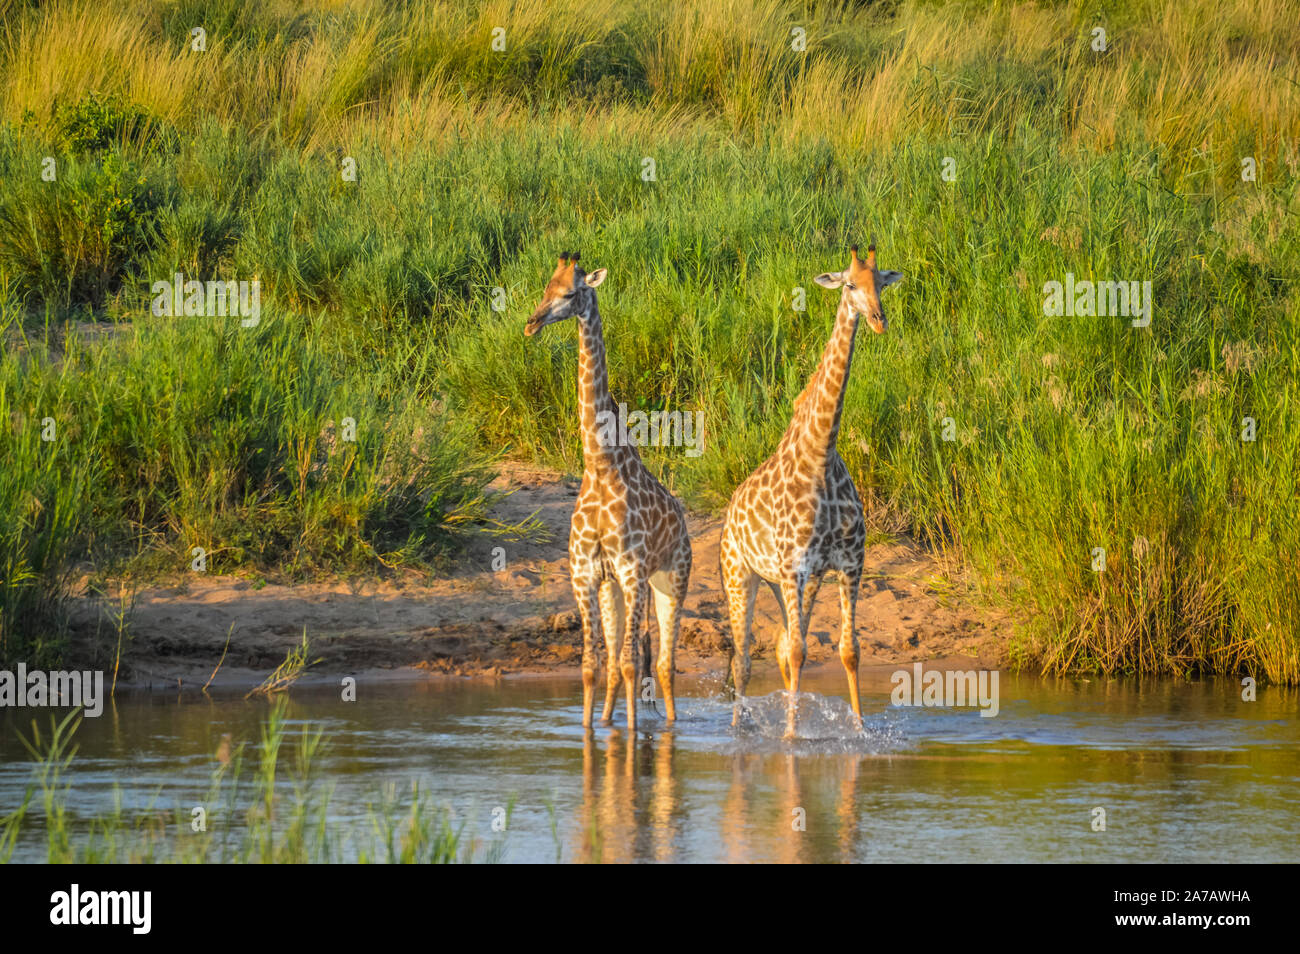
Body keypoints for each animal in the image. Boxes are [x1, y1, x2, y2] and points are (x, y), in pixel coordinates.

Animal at [525, 252, 693, 733]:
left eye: (569, 293)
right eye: (544, 288)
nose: (531, 324)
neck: (599, 467)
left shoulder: (632, 571)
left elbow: (633, 663)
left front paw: (632, 732)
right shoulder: (585, 574)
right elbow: (591, 665)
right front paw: (590, 729)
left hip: (670, 580)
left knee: (662, 664)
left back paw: (669, 724)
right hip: (615, 588)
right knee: (624, 659)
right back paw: (608, 718)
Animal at [720, 243, 903, 737]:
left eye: (882, 283)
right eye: (850, 284)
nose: (879, 320)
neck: (822, 452)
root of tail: (730, 511)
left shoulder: (848, 565)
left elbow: (848, 650)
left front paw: (859, 731)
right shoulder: (793, 568)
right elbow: (801, 652)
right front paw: (790, 735)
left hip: (793, 581)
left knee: (783, 643)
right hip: (742, 574)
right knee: (744, 658)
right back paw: (737, 730)